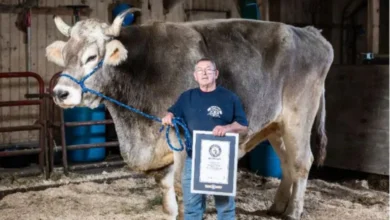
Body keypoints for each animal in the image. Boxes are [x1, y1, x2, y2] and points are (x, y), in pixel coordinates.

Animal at [45, 7, 332, 219]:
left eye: (92, 57)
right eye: (66, 55)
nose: (61, 93)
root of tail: (309, 32)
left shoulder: (182, 138)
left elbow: (183, 189)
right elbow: (167, 194)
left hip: (298, 117)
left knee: (301, 162)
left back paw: (293, 212)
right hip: (276, 125)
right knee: (287, 163)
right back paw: (277, 207)